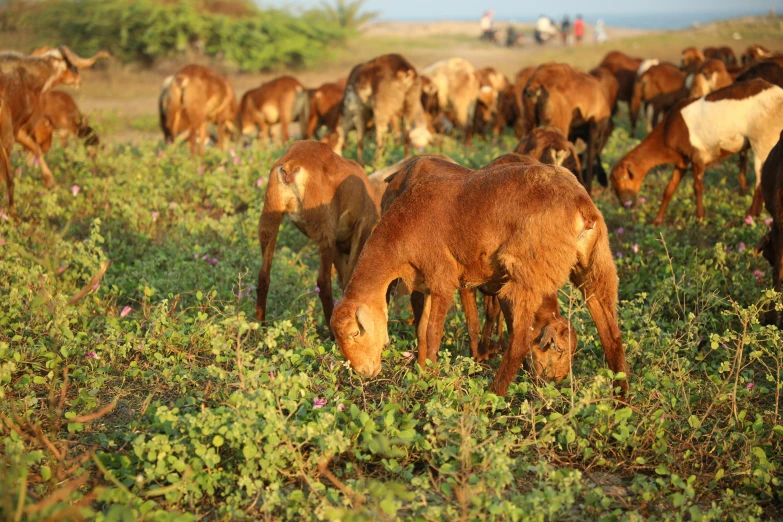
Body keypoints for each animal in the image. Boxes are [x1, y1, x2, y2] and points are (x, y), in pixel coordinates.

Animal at [332, 158, 632, 394]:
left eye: (354, 333)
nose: (364, 373)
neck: (400, 234)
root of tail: (581, 204)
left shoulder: (443, 280)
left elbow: (432, 332)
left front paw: (431, 378)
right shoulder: (427, 283)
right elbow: (421, 328)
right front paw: (421, 372)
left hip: (527, 272)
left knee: (520, 340)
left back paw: (493, 394)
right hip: (595, 265)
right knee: (612, 336)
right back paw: (621, 396)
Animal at [612, 79, 783, 223]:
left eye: (624, 178)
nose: (625, 203)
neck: (668, 131)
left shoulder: (697, 156)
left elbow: (697, 188)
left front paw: (700, 218)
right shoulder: (681, 162)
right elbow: (669, 189)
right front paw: (657, 221)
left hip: (763, 139)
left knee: (760, 180)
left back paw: (751, 214)